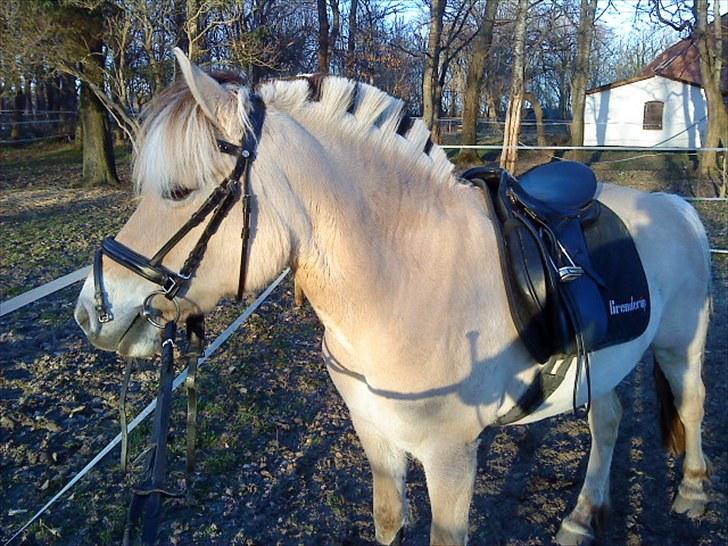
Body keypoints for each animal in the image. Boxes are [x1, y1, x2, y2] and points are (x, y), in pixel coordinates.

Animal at [74, 49, 713, 545]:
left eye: (179, 191)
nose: (91, 311)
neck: (402, 286)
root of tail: (674, 206)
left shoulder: (451, 456)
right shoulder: (376, 436)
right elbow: (387, 520)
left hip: (680, 346)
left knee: (691, 401)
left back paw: (692, 493)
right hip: (604, 363)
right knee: (609, 418)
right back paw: (581, 518)